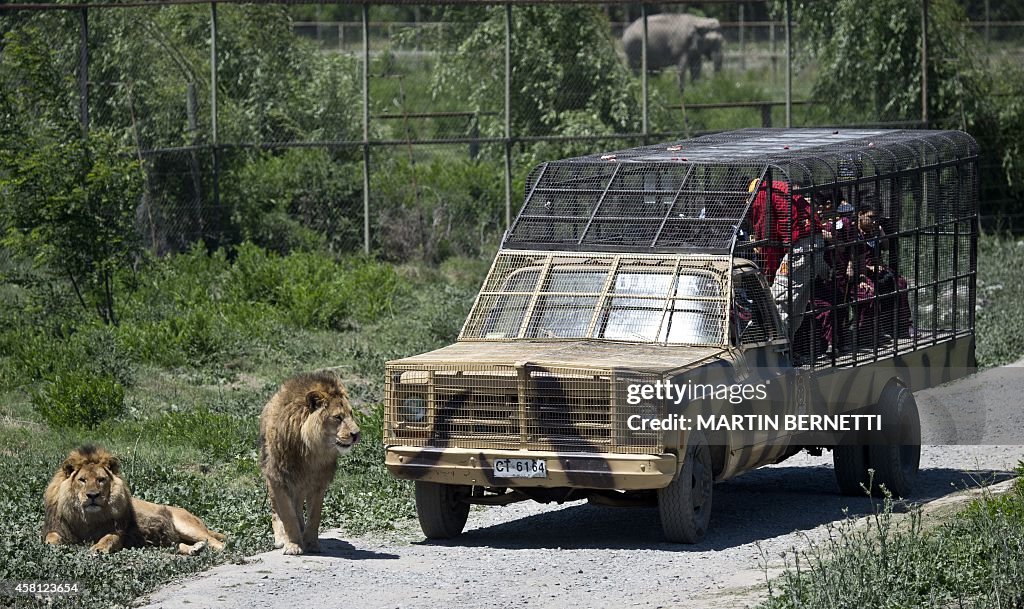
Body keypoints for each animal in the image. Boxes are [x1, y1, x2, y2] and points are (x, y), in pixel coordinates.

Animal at [42, 446, 226, 556]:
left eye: (101, 479)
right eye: (82, 480)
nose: (93, 495)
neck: (87, 518)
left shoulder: (118, 531)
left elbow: (108, 538)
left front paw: (98, 548)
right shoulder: (57, 528)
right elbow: (50, 538)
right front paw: (54, 547)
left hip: (185, 525)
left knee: (217, 542)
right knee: (179, 544)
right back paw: (195, 548)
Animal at [258, 368, 362, 556]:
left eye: (351, 414)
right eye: (338, 417)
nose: (356, 434)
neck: (311, 451)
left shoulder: (318, 483)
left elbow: (314, 516)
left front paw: (311, 543)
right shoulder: (279, 478)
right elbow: (287, 515)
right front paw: (293, 545)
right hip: (270, 475)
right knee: (276, 511)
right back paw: (281, 538)